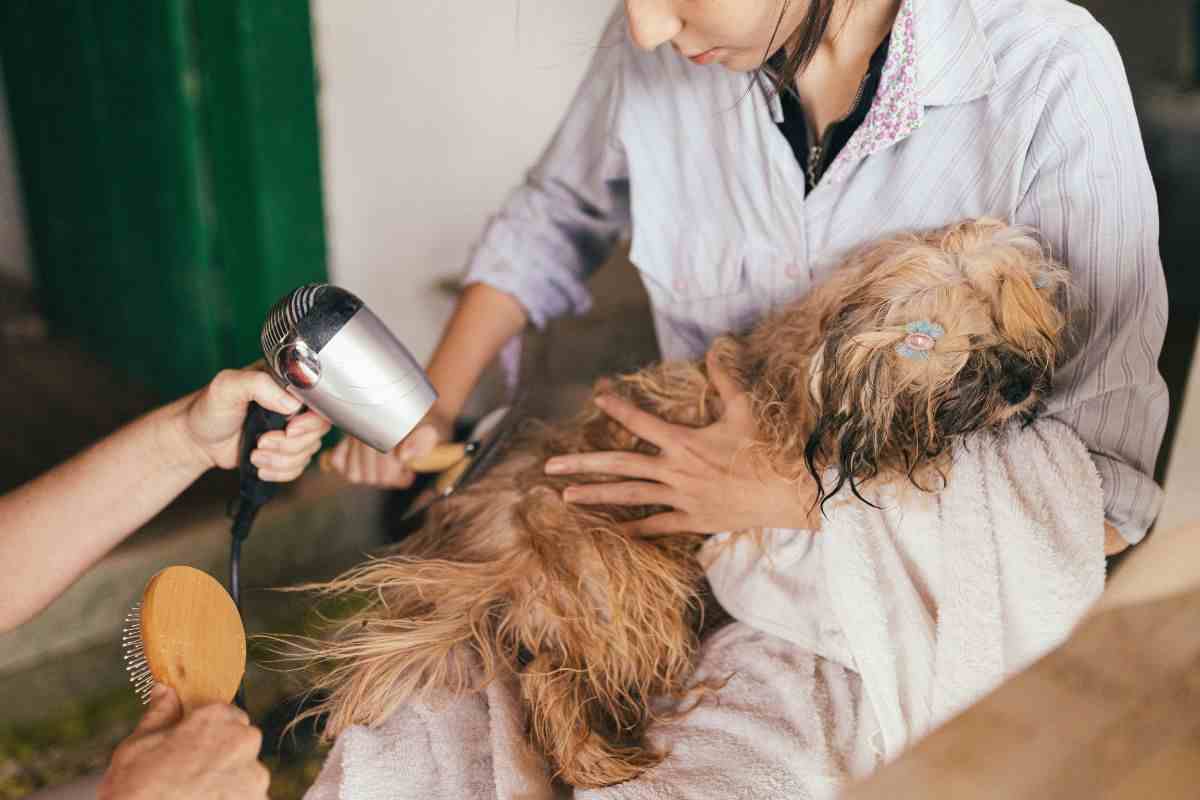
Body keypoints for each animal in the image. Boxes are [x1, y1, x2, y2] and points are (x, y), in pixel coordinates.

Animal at [288, 217, 1070, 786]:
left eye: (1008, 313)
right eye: (944, 338)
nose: (1020, 383)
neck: (815, 362)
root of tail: (505, 552)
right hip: (635, 577)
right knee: (551, 676)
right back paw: (599, 758)